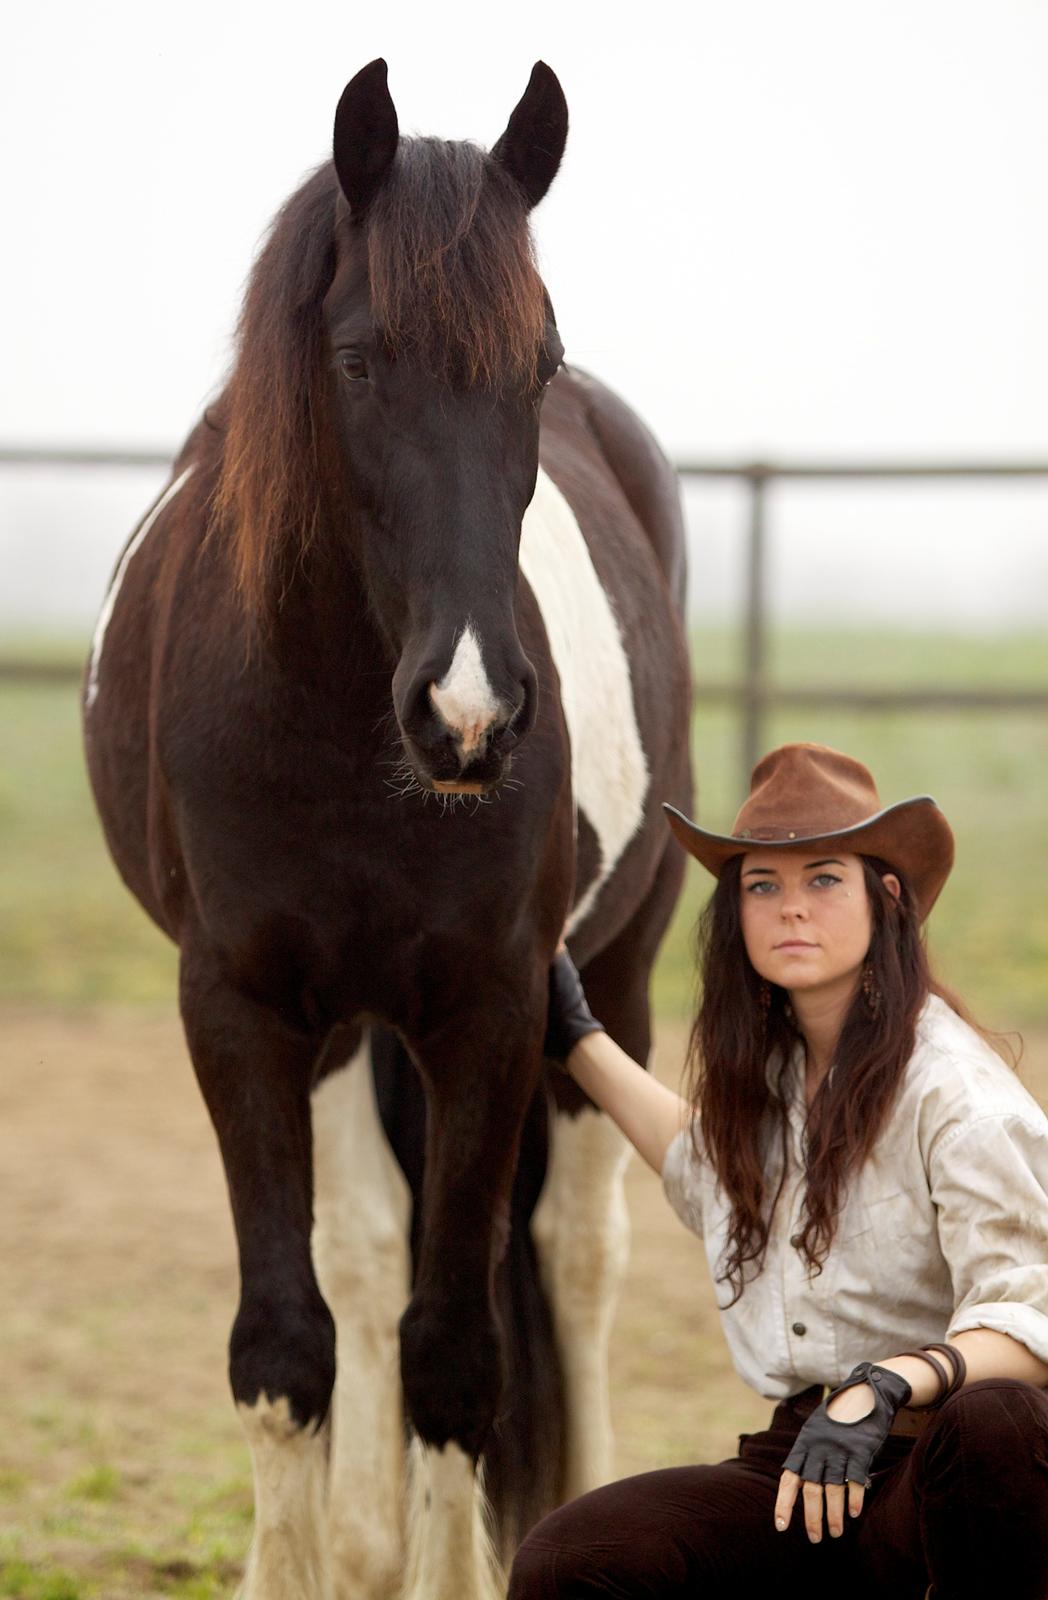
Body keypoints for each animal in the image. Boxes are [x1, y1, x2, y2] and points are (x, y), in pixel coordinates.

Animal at [84, 59, 697, 1600]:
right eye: (358, 361)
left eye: (536, 365)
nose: (470, 712)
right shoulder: (243, 1007)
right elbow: (288, 1341)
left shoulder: (492, 1006)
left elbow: (458, 1348)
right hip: (347, 1027)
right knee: (366, 1258)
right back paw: (364, 1543)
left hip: (619, 974)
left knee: (574, 1254)